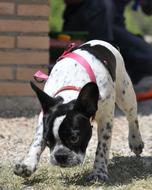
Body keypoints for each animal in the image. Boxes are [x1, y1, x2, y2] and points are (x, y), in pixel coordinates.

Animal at [13, 39, 144, 181]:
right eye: (47, 140)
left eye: (74, 138)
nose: (60, 156)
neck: (72, 86)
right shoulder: (44, 117)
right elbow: (37, 141)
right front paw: (27, 164)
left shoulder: (106, 120)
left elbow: (102, 147)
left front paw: (99, 172)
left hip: (125, 94)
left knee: (132, 117)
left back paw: (136, 141)